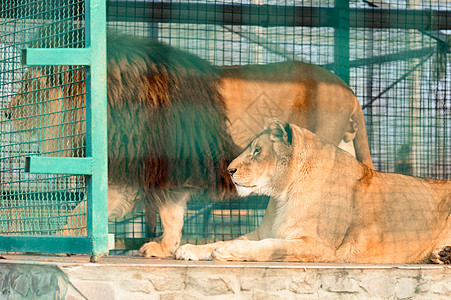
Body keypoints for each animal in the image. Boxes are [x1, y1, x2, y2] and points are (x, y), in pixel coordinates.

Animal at [4, 29, 374, 256]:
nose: (7, 112)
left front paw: (60, 239)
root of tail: (348, 89)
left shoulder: (150, 162)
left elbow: (91, 210)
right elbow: (156, 211)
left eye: (28, 86)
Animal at [177, 118, 451, 264]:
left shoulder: (321, 246)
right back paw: (442, 255)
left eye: (257, 150)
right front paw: (189, 249)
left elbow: (271, 246)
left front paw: (229, 251)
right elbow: (225, 239)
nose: (229, 170)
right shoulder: (262, 231)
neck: (282, 196)